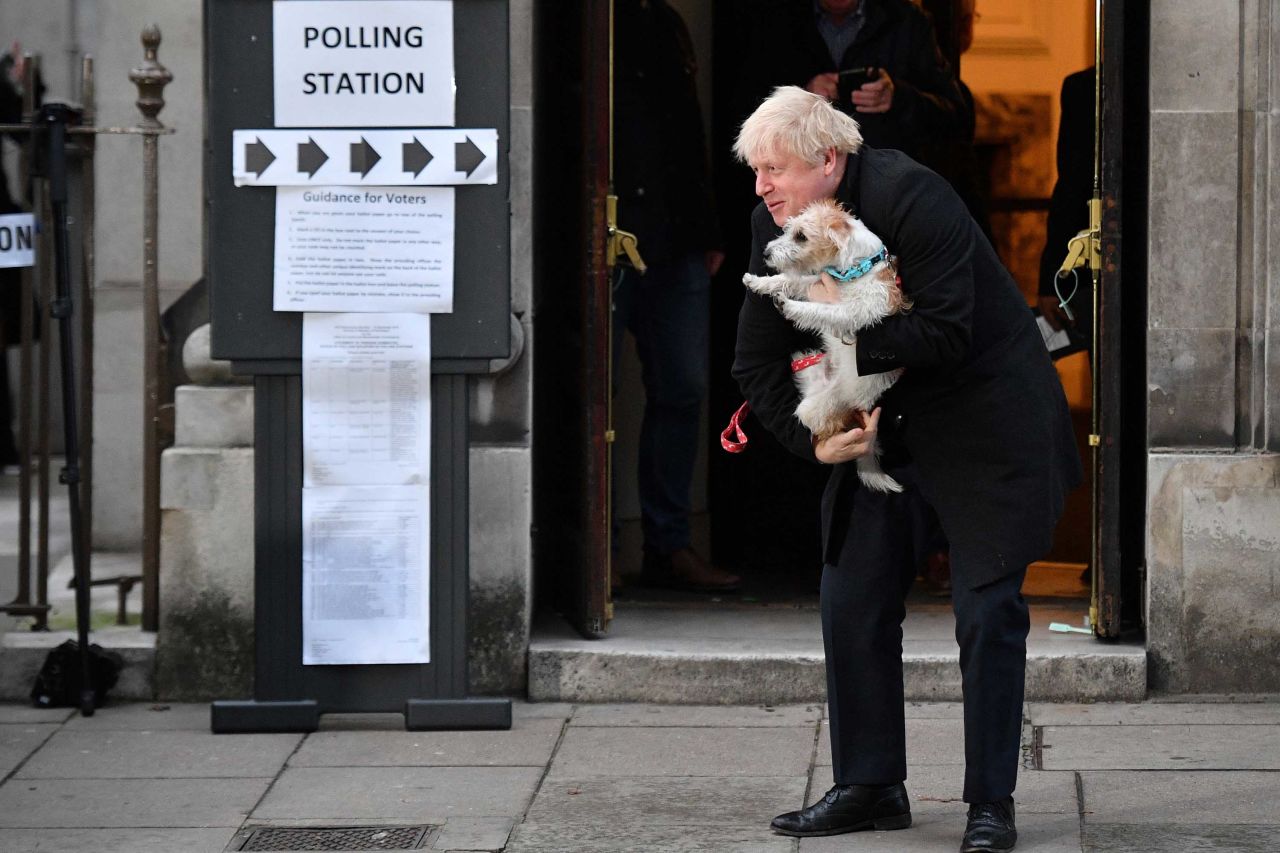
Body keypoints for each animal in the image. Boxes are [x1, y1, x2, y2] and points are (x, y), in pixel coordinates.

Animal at [742, 198, 911, 491]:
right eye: (788, 229)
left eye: (801, 236)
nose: (766, 253)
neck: (856, 270)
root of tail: (856, 409)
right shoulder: (814, 281)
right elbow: (791, 280)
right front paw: (759, 282)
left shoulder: (852, 313)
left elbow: (820, 310)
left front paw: (790, 306)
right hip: (806, 367)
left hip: (815, 410)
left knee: (820, 426)